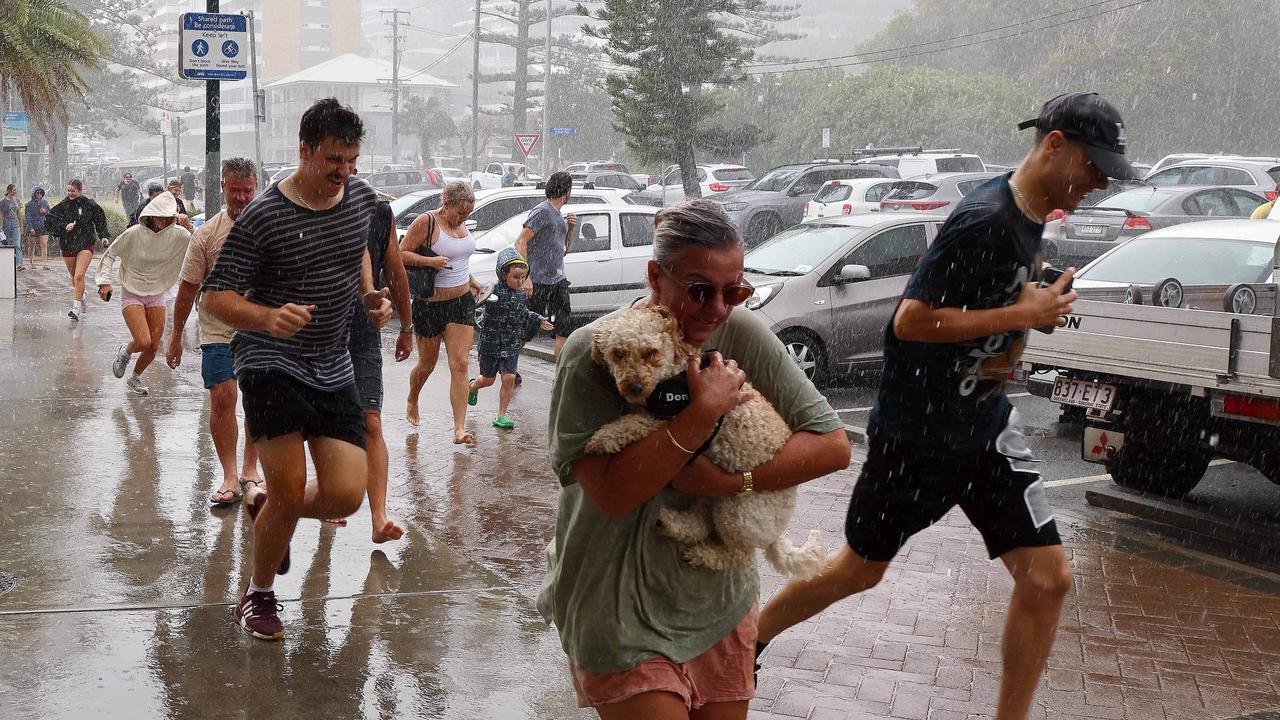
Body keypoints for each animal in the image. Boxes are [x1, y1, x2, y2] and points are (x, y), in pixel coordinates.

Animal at [586, 304, 824, 573]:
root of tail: (776, 535)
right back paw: (673, 523)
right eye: (618, 353)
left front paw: (603, 437)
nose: (634, 388)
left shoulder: (672, 420)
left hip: (736, 511)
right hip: (712, 494)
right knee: (701, 523)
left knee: (739, 554)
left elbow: (634, 423)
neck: (674, 376)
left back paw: (703, 554)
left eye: (650, 352)